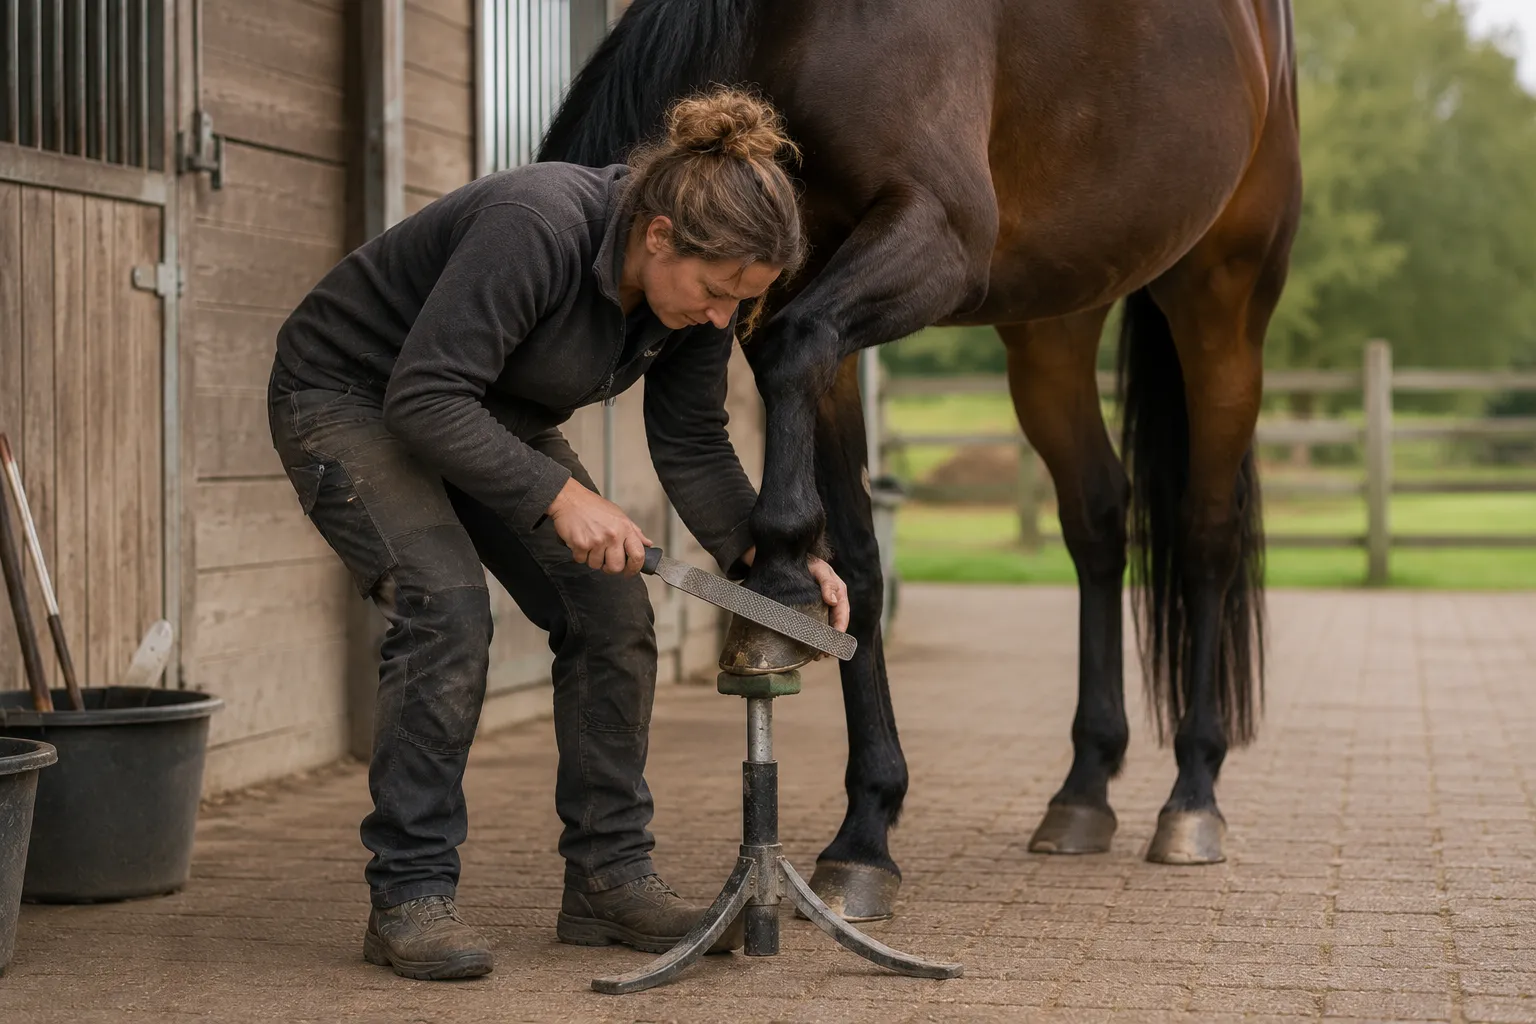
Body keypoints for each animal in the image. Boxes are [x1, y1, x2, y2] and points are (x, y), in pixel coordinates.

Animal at [539, 0, 1300, 920]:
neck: (796, 29)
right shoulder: (800, 283)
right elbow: (859, 565)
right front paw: (866, 830)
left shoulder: (934, 235)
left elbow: (798, 360)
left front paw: (779, 586)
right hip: (1053, 322)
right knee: (1097, 519)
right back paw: (1083, 791)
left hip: (1224, 299)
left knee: (1204, 537)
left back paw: (1192, 798)